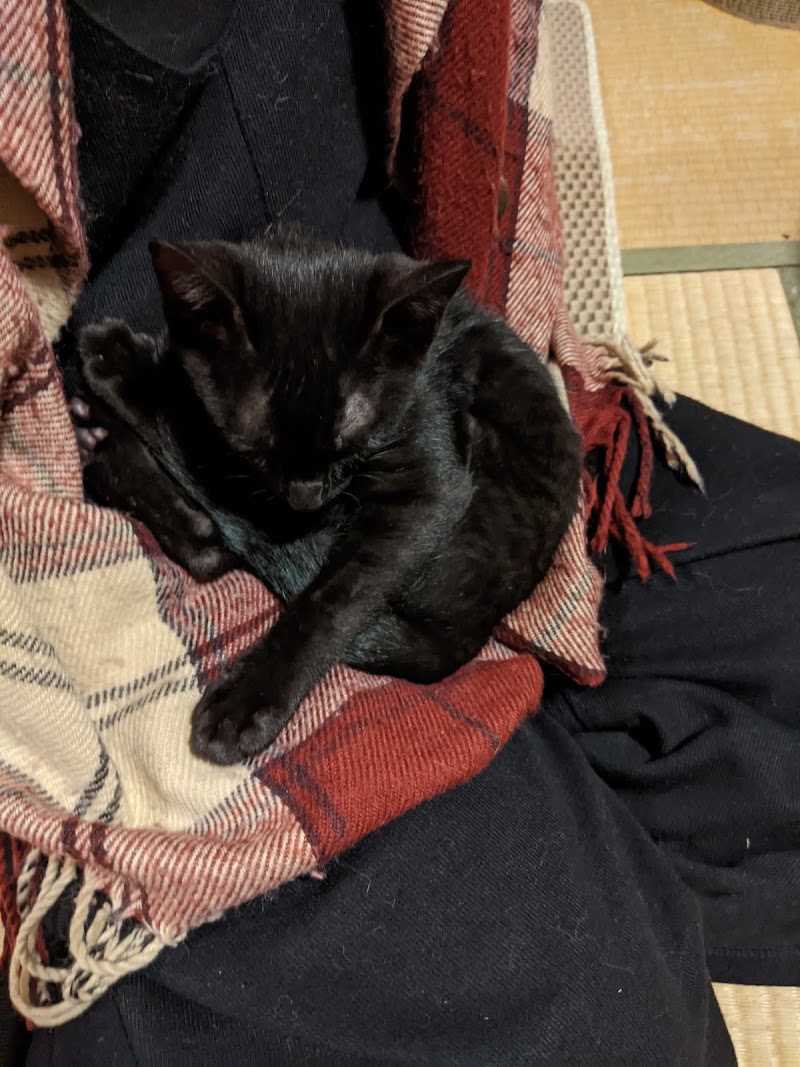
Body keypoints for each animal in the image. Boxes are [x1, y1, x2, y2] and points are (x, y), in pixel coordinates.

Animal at [75, 231, 582, 765]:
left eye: (348, 448)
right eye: (258, 451)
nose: (305, 498)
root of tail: (471, 630)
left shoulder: (429, 482)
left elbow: (333, 599)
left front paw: (249, 701)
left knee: (211, 536)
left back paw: (108, 438)